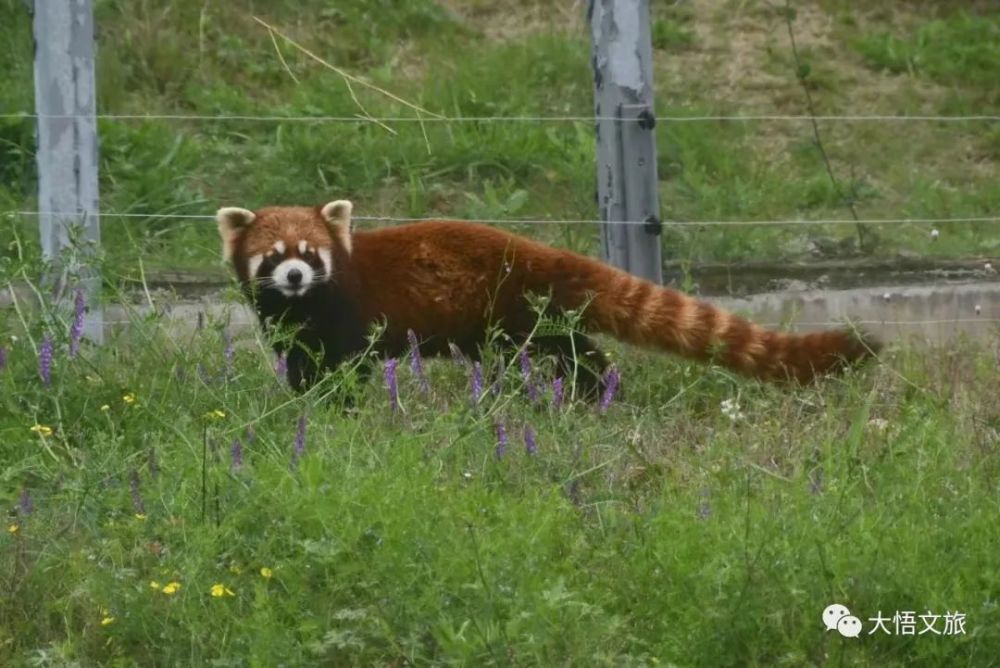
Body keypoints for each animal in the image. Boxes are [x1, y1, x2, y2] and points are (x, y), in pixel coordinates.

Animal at [217, 198, 876, 396]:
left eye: (311, 253)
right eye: (274, 257)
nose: (295, 277)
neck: (302, 306)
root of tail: (541, 252)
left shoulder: (347, 312)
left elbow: (345, 366)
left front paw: (337, 406)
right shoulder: (288, 325)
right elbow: (301, 363)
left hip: (516, 313)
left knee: (572, 354)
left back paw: (591, 394)